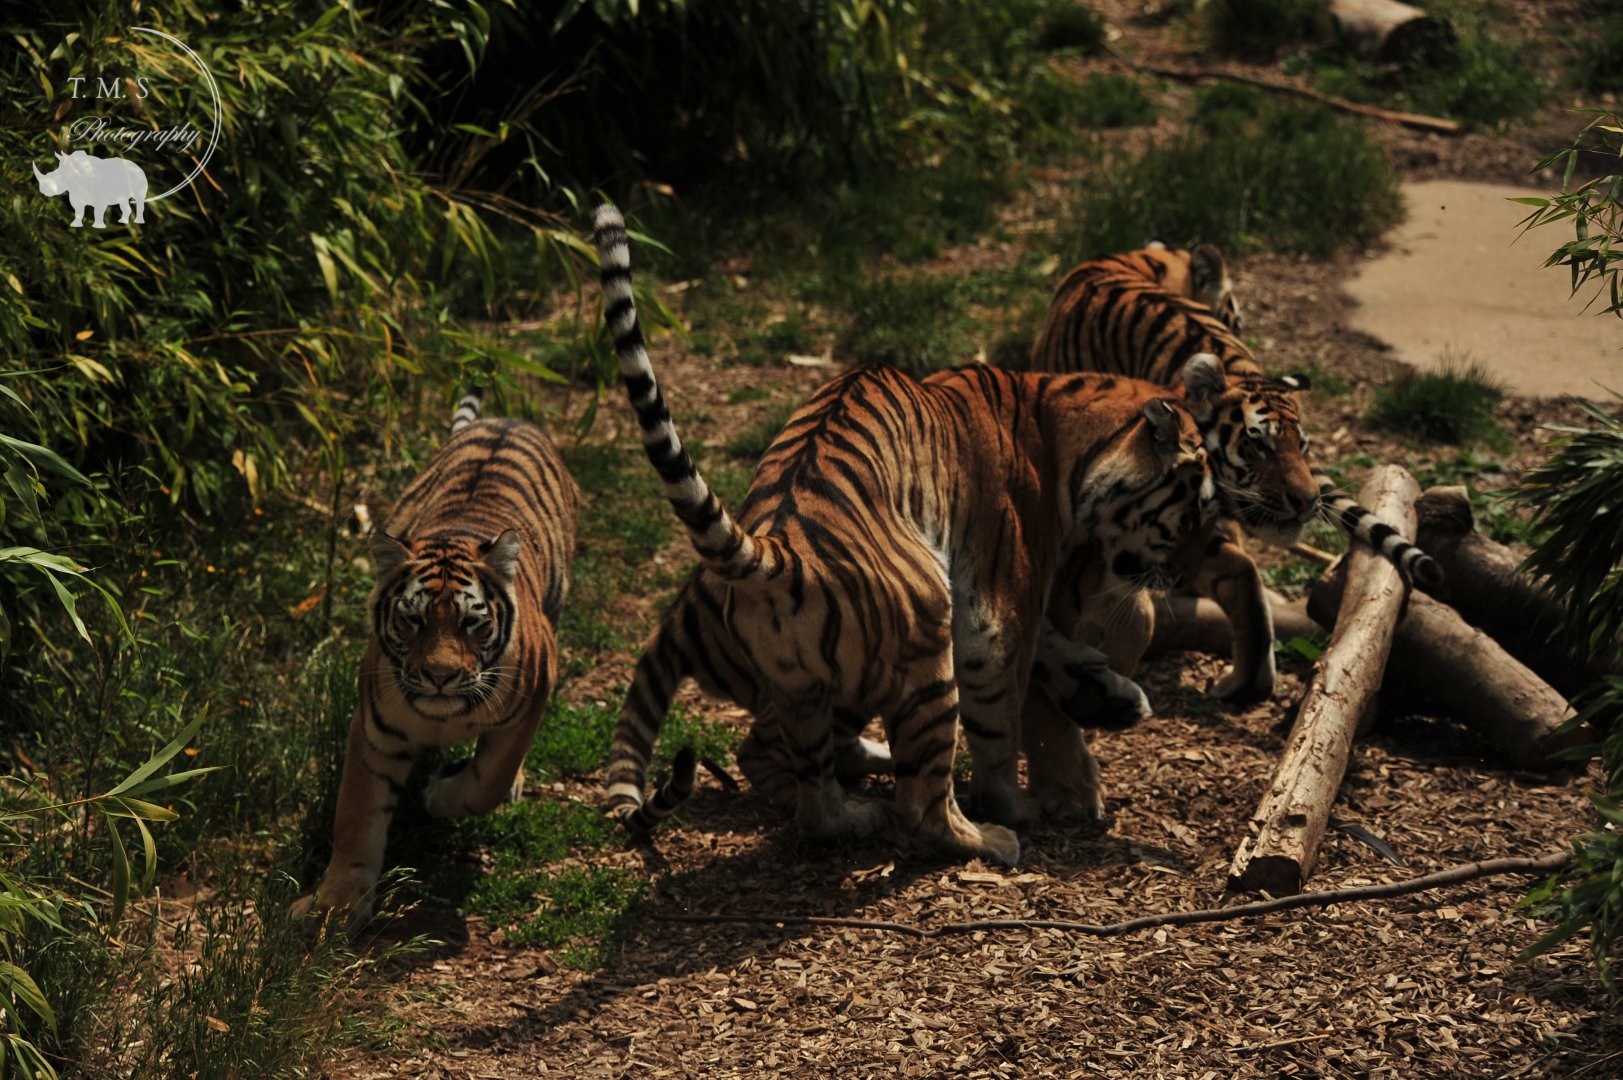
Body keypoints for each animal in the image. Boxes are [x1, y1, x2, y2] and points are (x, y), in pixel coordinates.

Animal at [292, 390, 579, 931]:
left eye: (471, 622)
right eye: (413, 620)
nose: (440, 676)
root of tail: (506, 420)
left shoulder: (534, 695)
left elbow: (488, 782)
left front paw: (437, 795)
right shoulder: (374, 731)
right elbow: (356, 816)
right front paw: (337, 905)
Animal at [594, 202, 1221, 860]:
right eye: (1197, 510)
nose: (1184, 574)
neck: (1061, 431)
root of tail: (780, 550)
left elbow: (1053, 649)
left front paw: (1109, 690)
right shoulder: (995, 613)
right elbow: (1002, 718)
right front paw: (1015, 801)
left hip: (804, 685)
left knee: (807, 791)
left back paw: (854, 811)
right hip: (924, 650)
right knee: (917, 806)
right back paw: (987, 836)